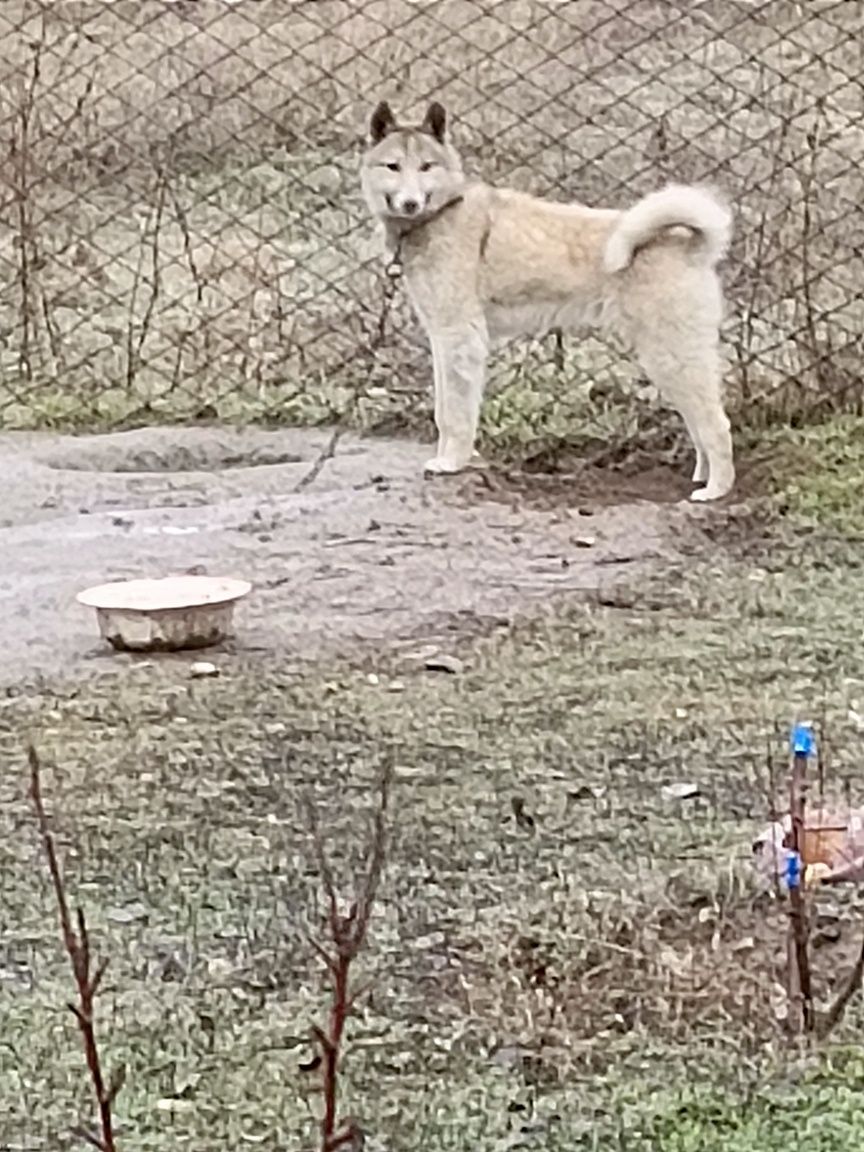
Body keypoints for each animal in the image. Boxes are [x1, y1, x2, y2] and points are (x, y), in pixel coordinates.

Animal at [359, 104, 737, 504]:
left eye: (426, 166)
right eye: (393, 166)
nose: (410, 203)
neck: (441, 212)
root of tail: (688, 244)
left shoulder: (462, 339)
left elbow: (457, 414)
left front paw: (452, 463)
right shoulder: (443, 341)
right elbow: (444, 410)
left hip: (672, 358)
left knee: (717, 425)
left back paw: (716, 490)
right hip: (672, 362)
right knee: (699, 425)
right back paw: (701, 477)